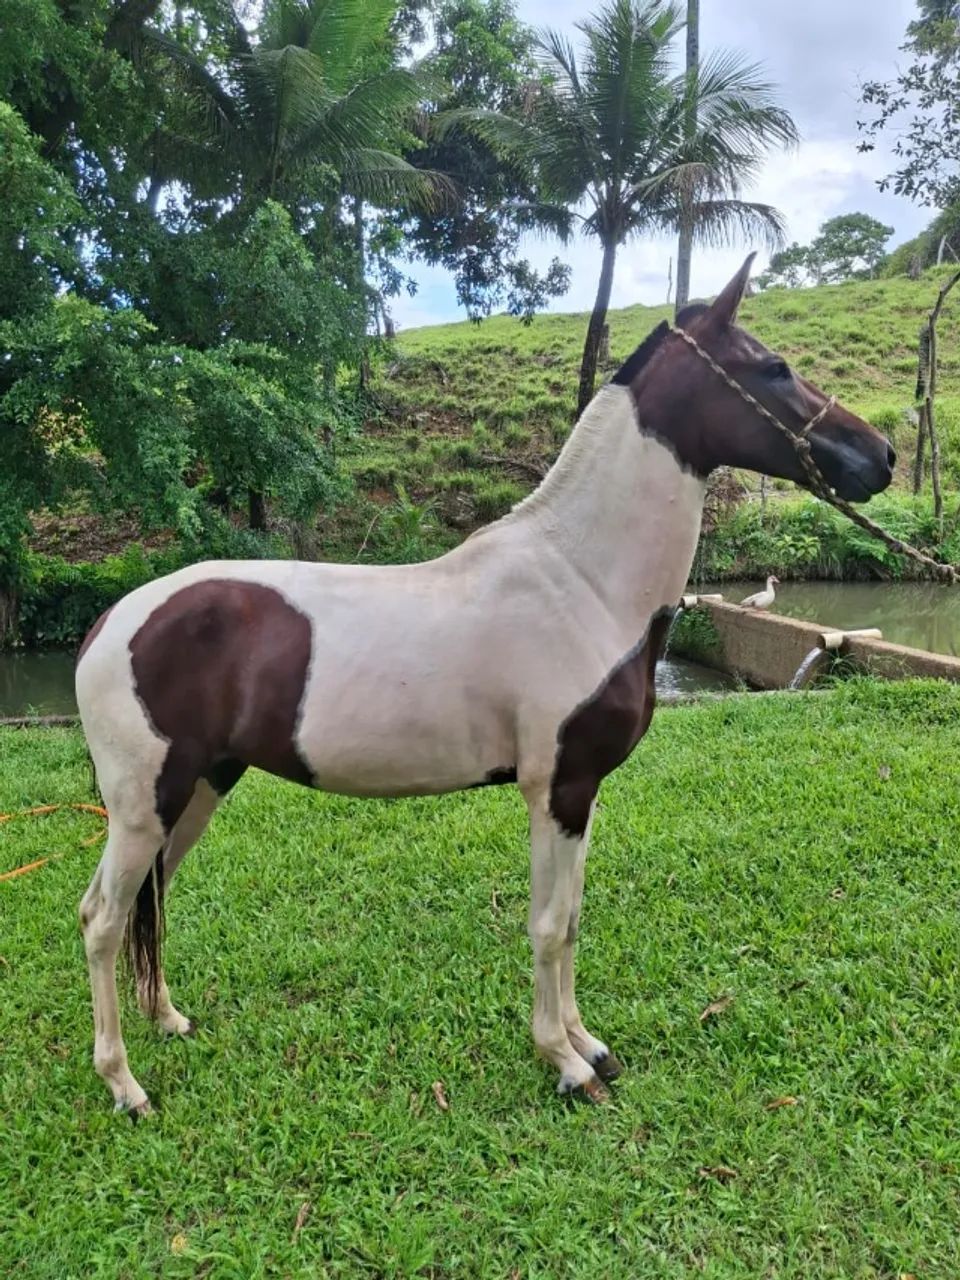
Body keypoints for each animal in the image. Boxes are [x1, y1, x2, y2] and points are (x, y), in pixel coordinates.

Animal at [76, 257, 895, 1116]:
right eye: (774, 367)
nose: (881, 457)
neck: (582, 579)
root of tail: (106, 624)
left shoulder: (580, 793)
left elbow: (571, 919)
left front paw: (590, 1047)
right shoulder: (556, 788)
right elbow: (548, 925)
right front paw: (563, 1062)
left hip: (200, 787)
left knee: (151, 899)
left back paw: (168, 1020)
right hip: (144, 804)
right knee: (103, 918)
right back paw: (124, 1084)